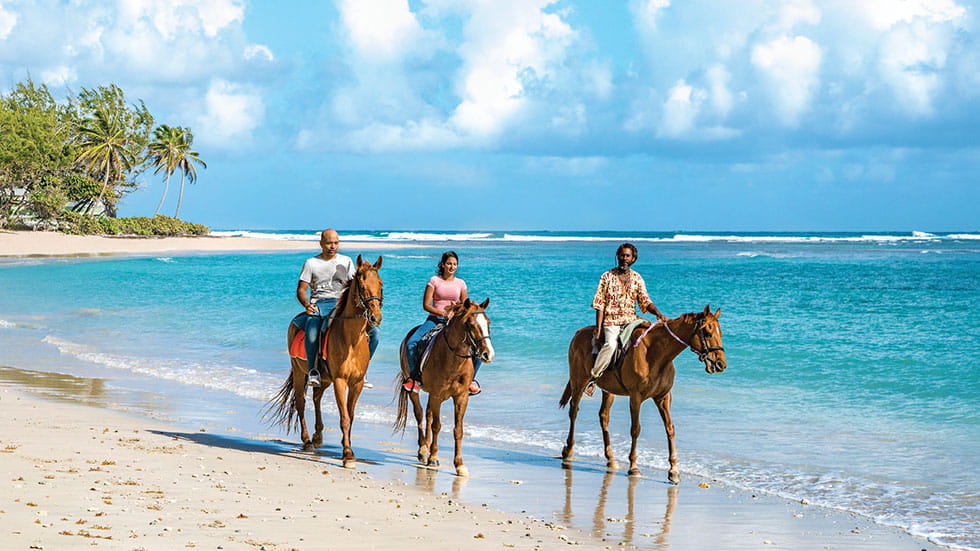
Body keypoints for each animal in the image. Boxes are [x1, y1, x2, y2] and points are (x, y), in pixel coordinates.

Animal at [268, 256, 382, 468]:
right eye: (362, 286)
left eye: (380, 284)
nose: (375, 318)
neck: (351, 339)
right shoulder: (340, 381)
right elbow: (344, 417)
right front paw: (348, 455)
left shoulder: (356, 383)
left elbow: (351, 416)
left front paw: (347, 447)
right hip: (300, 372)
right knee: (301, 402)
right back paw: (307, 441)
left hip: (325, 379)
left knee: (316, 398)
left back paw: (318, 436)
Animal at [394, 300, 494, 476]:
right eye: (471, 324)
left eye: (488, 323)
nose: (488, 354)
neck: (454, 360)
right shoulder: (437, 396)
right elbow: (437, 426)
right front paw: (433, 458)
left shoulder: (461, 397)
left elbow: (458, 429)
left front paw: (459, 465)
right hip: (415, 390)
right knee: (419, 414)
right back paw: (423, 450)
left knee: (427, 415)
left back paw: (426, 448)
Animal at [560, 306, 728, 484]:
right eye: (708, 333)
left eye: (721, 333)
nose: (721, 364)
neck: (656, 355)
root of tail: (578, 333)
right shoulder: (636, 397)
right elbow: (635, 429)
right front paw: (633, 467)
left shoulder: (663, 397)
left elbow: (670, 428)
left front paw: (674, 470)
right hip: (579, 382)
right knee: (574, 411)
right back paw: (568, 450)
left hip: (608, 391)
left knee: (604, 416)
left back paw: (611, 459)